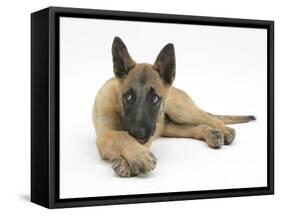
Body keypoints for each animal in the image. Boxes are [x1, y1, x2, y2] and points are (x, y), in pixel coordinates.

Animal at [93, 35, 255, 177]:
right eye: (128, 97)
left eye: (154, 98)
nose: (138, 133)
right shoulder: (104, 135)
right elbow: (121, 136)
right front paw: (134, 157)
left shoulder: (147, 136)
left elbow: (124, 136)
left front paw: (134, 158)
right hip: (170, 128)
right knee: (196, 127)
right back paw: (211, 135)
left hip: (181, 111)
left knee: (211, 119)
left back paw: (226, 131)